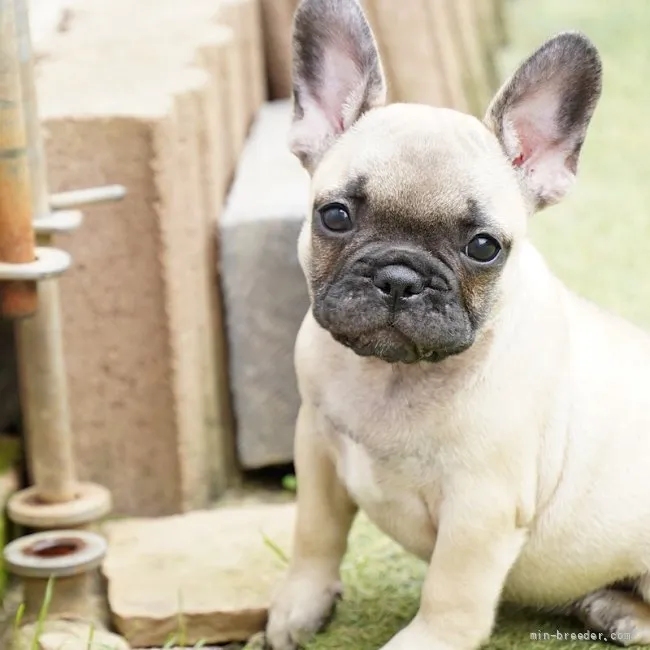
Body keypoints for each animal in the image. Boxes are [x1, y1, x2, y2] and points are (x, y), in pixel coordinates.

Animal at [264, 1, 650, 648]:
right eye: (334, 216)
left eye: (483, 247)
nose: (399, 277)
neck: (393, 377)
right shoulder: (315, 448)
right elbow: (315, 531)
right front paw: (300, 601)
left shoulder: (481, 510)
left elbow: (451, 589)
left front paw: (426, 640)